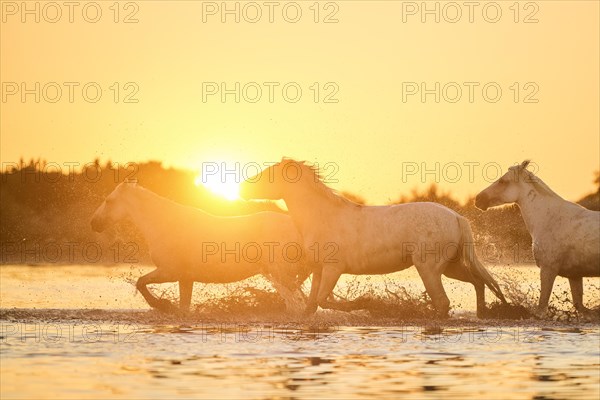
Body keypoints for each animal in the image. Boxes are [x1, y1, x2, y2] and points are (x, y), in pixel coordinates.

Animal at [92, 181, 314, 312]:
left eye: (109, 201)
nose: (94, 223)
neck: (165, 224)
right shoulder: (185, 278)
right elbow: (184, 306)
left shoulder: (170, 272)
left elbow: (140, 282)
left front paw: (162, 304)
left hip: (282, 274)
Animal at [239, 158, 506, 318]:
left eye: (269, 174)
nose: (242, 188)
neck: (323, 216)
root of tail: (456, 217)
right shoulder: (318, 269)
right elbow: (312, 305)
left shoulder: (334, 269)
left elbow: (325, 301)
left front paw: (366, 303)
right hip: (450, 267)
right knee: (478, 283)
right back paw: (483, 314)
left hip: (429, 268)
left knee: (443, 302)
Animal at [476, 160, 596, 318]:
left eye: (503, 181)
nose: (477, 199)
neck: (549, 219)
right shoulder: (574, 275)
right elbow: (580, 306)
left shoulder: (548, 269)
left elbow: (541, 307)